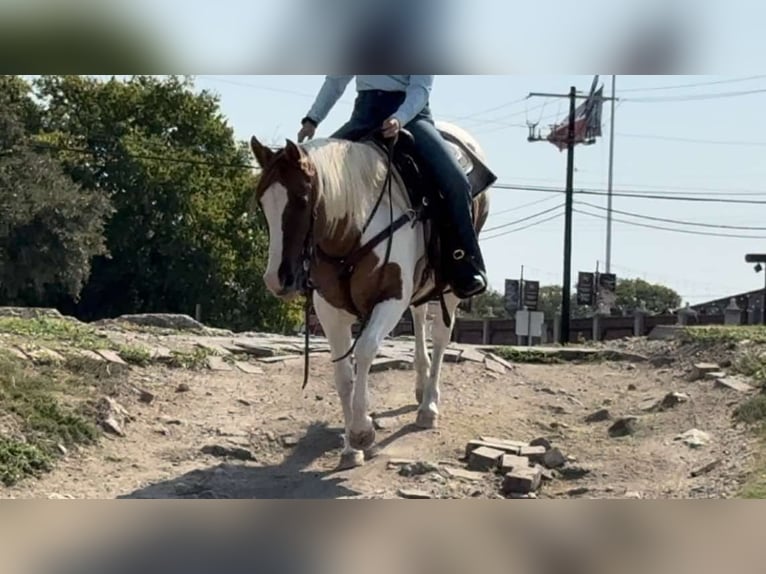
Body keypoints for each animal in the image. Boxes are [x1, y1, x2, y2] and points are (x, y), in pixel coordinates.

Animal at [248, 120, 494, 470]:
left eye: (302, 199)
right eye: (262, 203)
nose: (276, 279)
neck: (354, 226)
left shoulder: (390, 299)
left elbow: (364, 351)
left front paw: (362, 432)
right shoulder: (329, 309)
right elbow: (342, 372)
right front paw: (350, 448)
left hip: (451, 285)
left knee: (440, 336)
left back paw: (429, 406)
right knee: (420, 317)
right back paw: (420, 386)